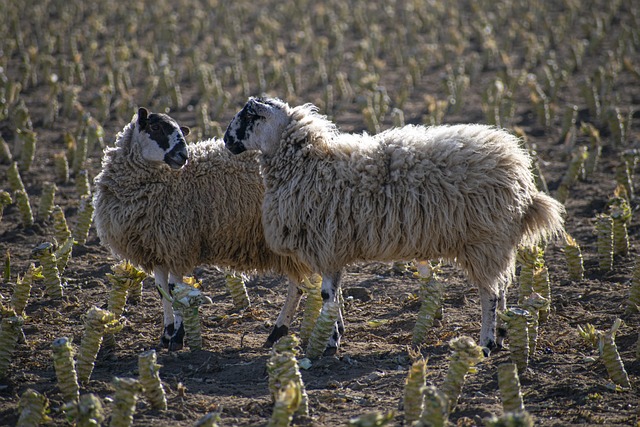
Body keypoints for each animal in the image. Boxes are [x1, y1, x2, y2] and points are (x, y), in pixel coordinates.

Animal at [94, 107, 312, 352]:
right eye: (156, 127)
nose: (183, 156)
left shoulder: (178, 244)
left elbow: (175, 289)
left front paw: (177, 338)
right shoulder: (158, 247)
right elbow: (161, 290)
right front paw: (167, 334)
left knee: (296, 288)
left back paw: (278, 332)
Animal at [224, 98, 564, 356]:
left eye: (249, 116)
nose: (226, 141)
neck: (309, 164)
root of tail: (520, 172)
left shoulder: (326, 243)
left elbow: (326, 295)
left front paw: (330, 341)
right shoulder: (332, 248)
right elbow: (334, 293)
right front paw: (336, 331)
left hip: (483, 239)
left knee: (490, 294)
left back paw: (486, 342)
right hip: (495, 242)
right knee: (501, 286)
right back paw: (502, 333)